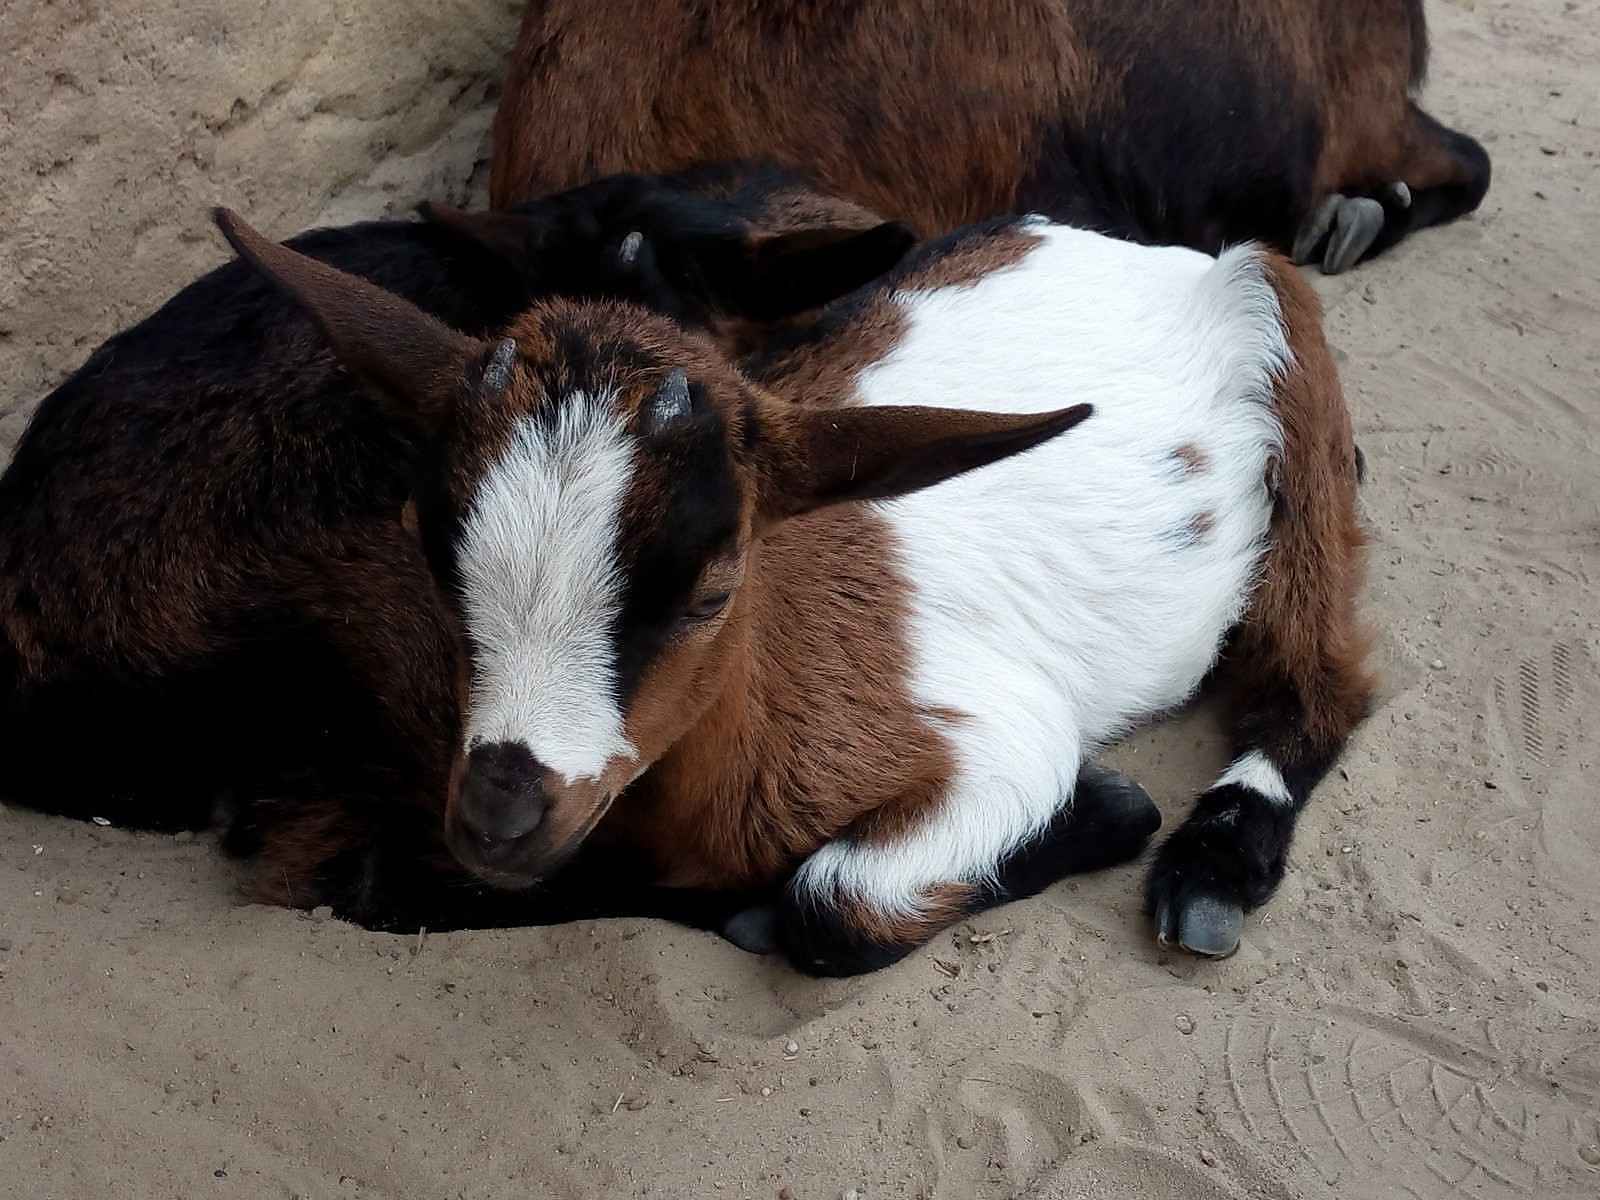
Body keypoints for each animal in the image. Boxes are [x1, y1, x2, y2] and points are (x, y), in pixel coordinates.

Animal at [211, 199, 1371, 977]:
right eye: (431, 556)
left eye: (712, 589)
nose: (500, 815)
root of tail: (1143, 258)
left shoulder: (996, 736)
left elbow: (832, 904)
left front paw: (1111, 809)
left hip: (1286, 349)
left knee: (1323, 675)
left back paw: (1212, 870)